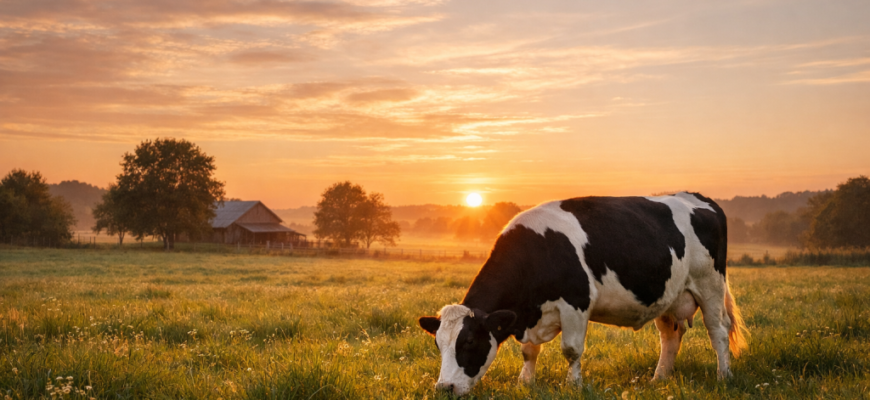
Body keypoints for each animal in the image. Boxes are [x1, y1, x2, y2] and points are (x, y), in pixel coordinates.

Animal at [418, 192, 748, 396]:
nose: (444, 389)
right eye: (437, 344)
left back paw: (724, 376)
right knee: (670, 336)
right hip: (669, 296)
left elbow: (571, 350)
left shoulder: (575, 304)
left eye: (469, 342)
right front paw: (525, 383)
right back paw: (659, 379)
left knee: (718, 331)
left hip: (710, 285)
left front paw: (573, 385)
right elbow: (529, 352)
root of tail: (698, 197)